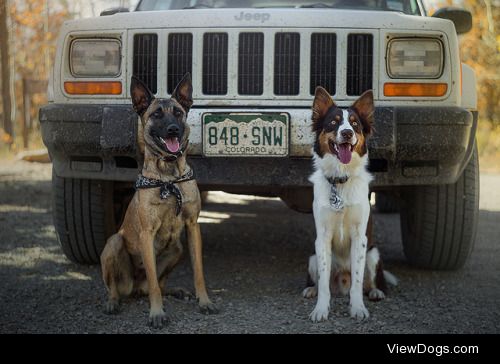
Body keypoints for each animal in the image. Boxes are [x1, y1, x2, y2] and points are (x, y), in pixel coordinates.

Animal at [100, 73, 218, 328]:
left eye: (178, 113)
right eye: (156, 115)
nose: (173, 129)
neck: (169, 177)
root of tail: (134, 287)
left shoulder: (192, 227)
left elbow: (198, 272)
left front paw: (204, 301)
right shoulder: (147, 234)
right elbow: (154, 282)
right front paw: (156, 313)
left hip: (177, 248)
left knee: (157, 285)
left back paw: (176, 291)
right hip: (114, 243)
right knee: (119, 287)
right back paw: (113, 302)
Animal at [302, 87, 396, 322]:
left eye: (354, 124)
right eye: (333, 123)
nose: (346, 133)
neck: (340, 180)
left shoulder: (360, 237)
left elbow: (357, 281)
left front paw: (358, 308)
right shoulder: (322, 238)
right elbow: (324, 283)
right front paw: (321, 309)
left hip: (373, 254)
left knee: (369, 282)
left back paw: (376, 291)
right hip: (312, 257)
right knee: (322, 280)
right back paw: (311, 289)